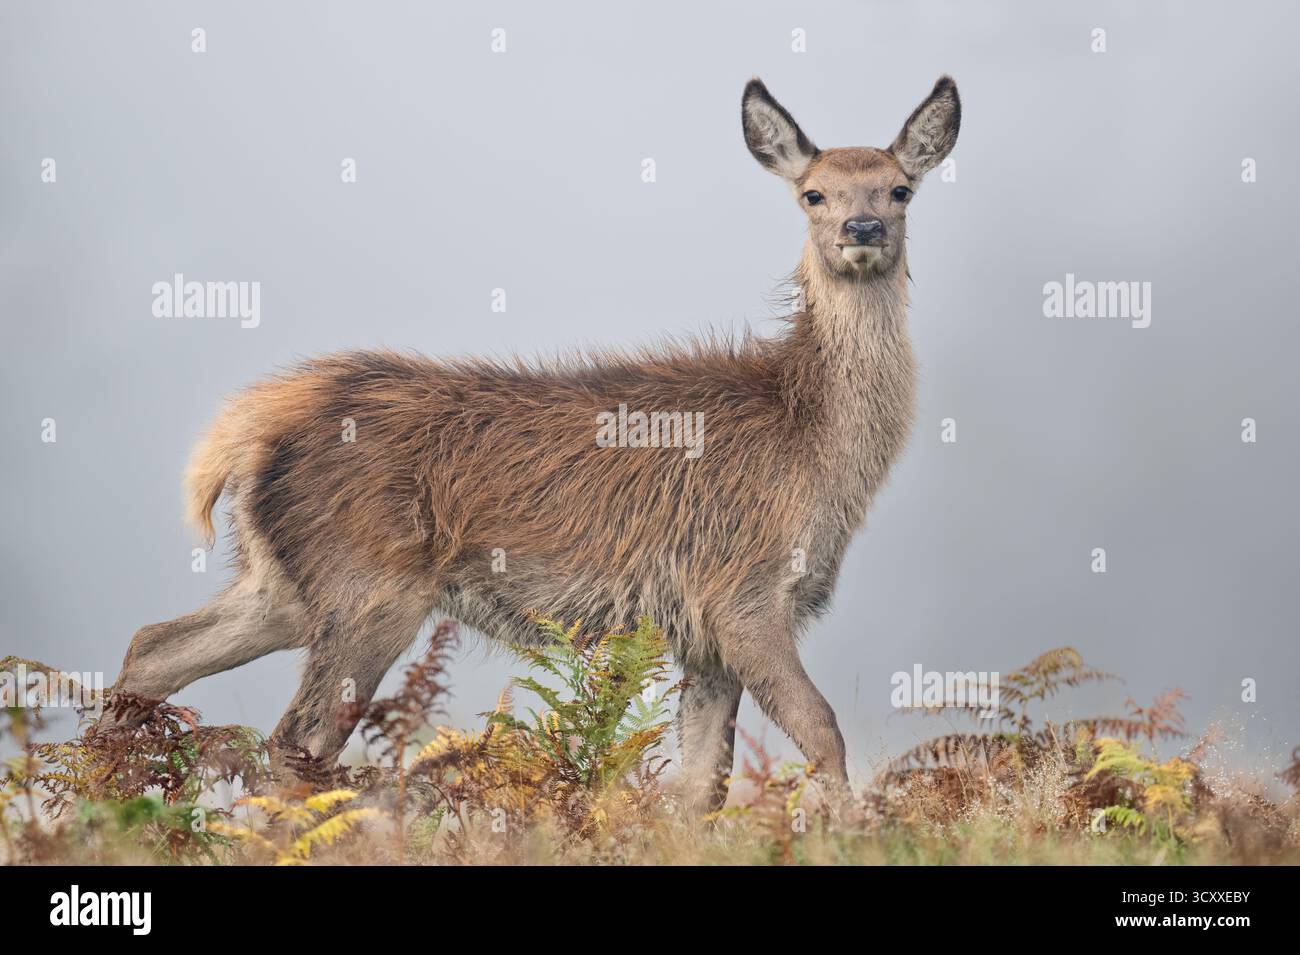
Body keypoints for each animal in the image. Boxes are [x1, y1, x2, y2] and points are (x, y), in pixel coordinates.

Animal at [112, 76, 961, 816]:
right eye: (812, 192)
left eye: (900, 189)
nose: (862, 230)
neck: (813, 443)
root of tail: (245, 429)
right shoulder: (741, 590)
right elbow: (821, 731)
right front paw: (850, 831)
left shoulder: (698, 628)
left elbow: (699, 786)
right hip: (368, 586)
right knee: (295, 742)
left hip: (280, 582)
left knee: (154, 647)